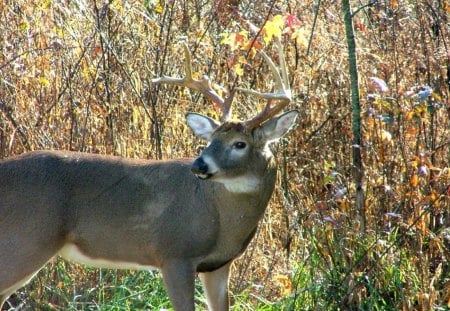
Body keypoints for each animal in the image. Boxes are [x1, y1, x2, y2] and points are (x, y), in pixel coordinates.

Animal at [0, 39, 298, 311]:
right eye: (212, 139)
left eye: (239, 144)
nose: (199, 165)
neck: (223, 220)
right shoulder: (175, 253)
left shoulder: (218, 264)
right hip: (27, 238)